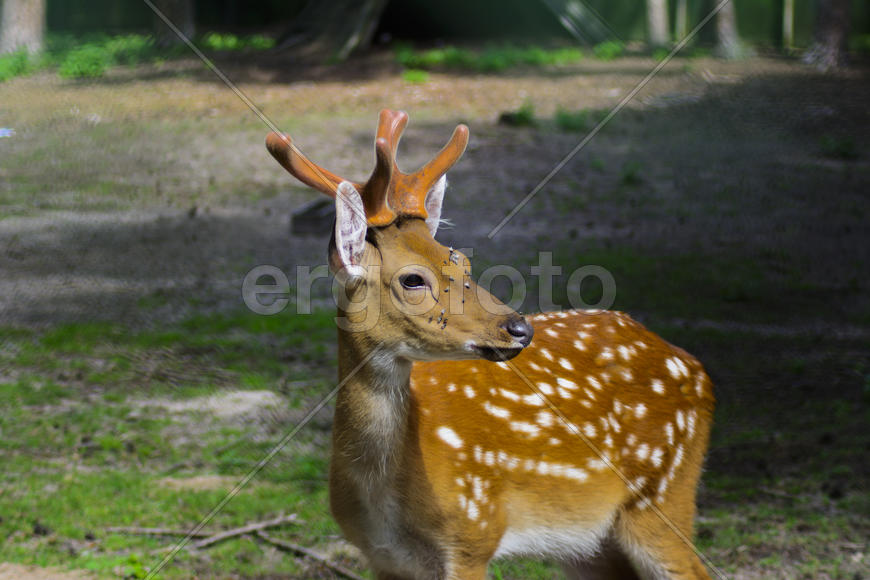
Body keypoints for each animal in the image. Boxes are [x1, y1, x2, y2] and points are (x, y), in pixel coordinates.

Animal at [265, 110, 716, 580]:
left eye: (461, 260)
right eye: (413, 279)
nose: (519, 328)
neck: (386, 501)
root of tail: (695, 367)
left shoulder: (473, 532)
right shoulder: (380, 557)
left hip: (663, 493)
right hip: (589, 541)